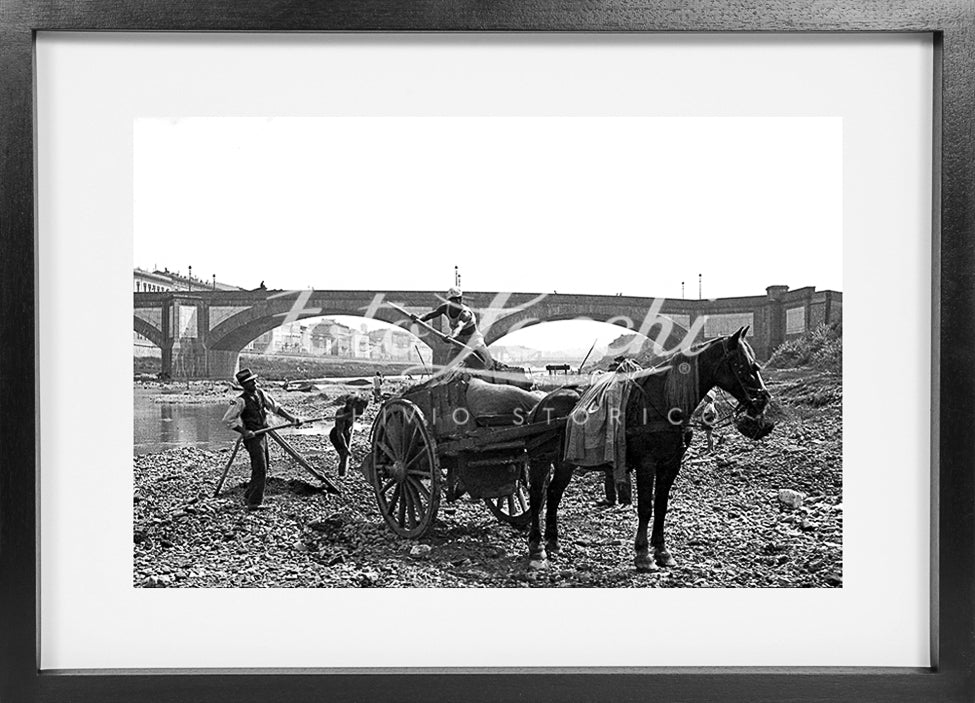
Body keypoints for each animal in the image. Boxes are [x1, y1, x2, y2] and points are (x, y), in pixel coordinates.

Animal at [528, 324, 772, 572]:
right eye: (746, 365)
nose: (763, 400)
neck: (663, 402)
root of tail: (541, 402)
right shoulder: (646, 464)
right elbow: (646, 507)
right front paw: (643, 554)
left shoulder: (671, 464)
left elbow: (661, 506)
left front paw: (662, 551)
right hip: (540, 460)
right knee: (537, 496)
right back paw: (537, 548)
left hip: (564, 462)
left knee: (553, 493)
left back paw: (552, 541)